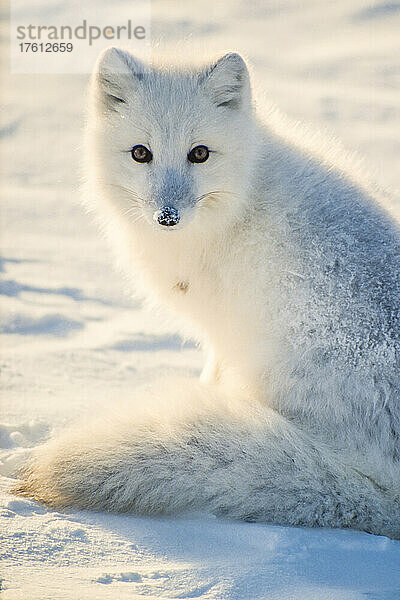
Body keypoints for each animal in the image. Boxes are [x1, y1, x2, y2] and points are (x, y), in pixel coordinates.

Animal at [16, 49, 400, 536]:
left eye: (199, 153)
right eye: (141, 153)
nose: (167, 216)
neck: (243, 198)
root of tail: (385, 493)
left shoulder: (221, 330)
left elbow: (209, 377)